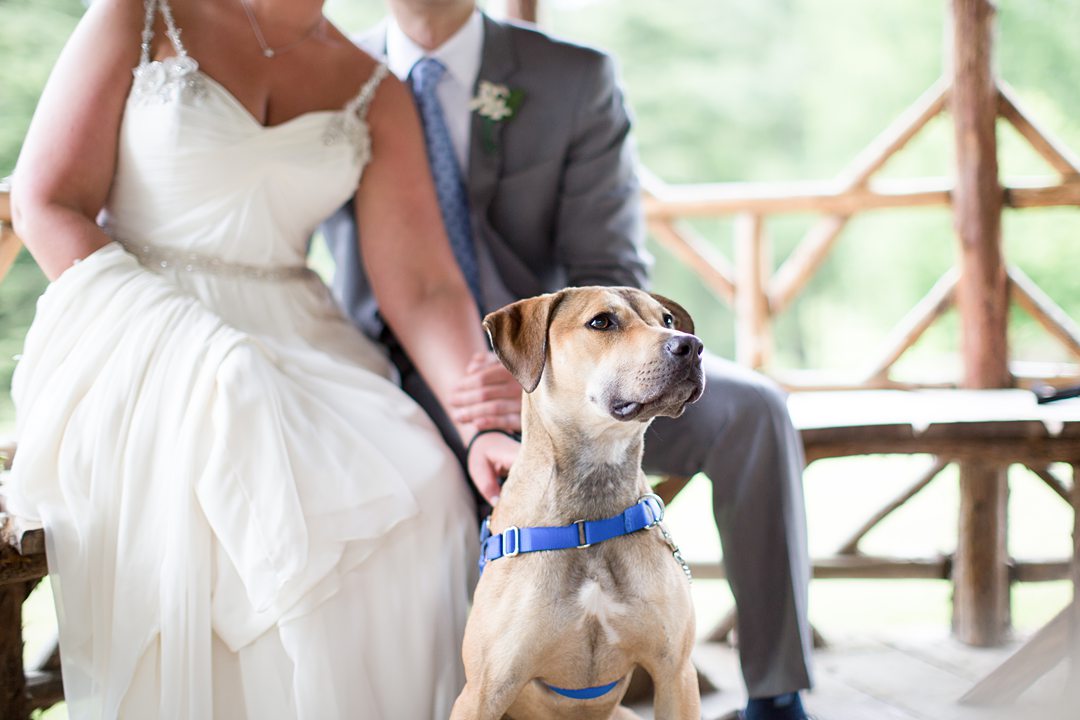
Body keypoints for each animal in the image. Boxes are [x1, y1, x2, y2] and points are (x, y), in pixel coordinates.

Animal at [451, 287, 704, 720]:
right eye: (601, 321)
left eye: (667, 320)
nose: (691, 345)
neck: (587, 516)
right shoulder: (482, 691)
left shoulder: (676, 673)